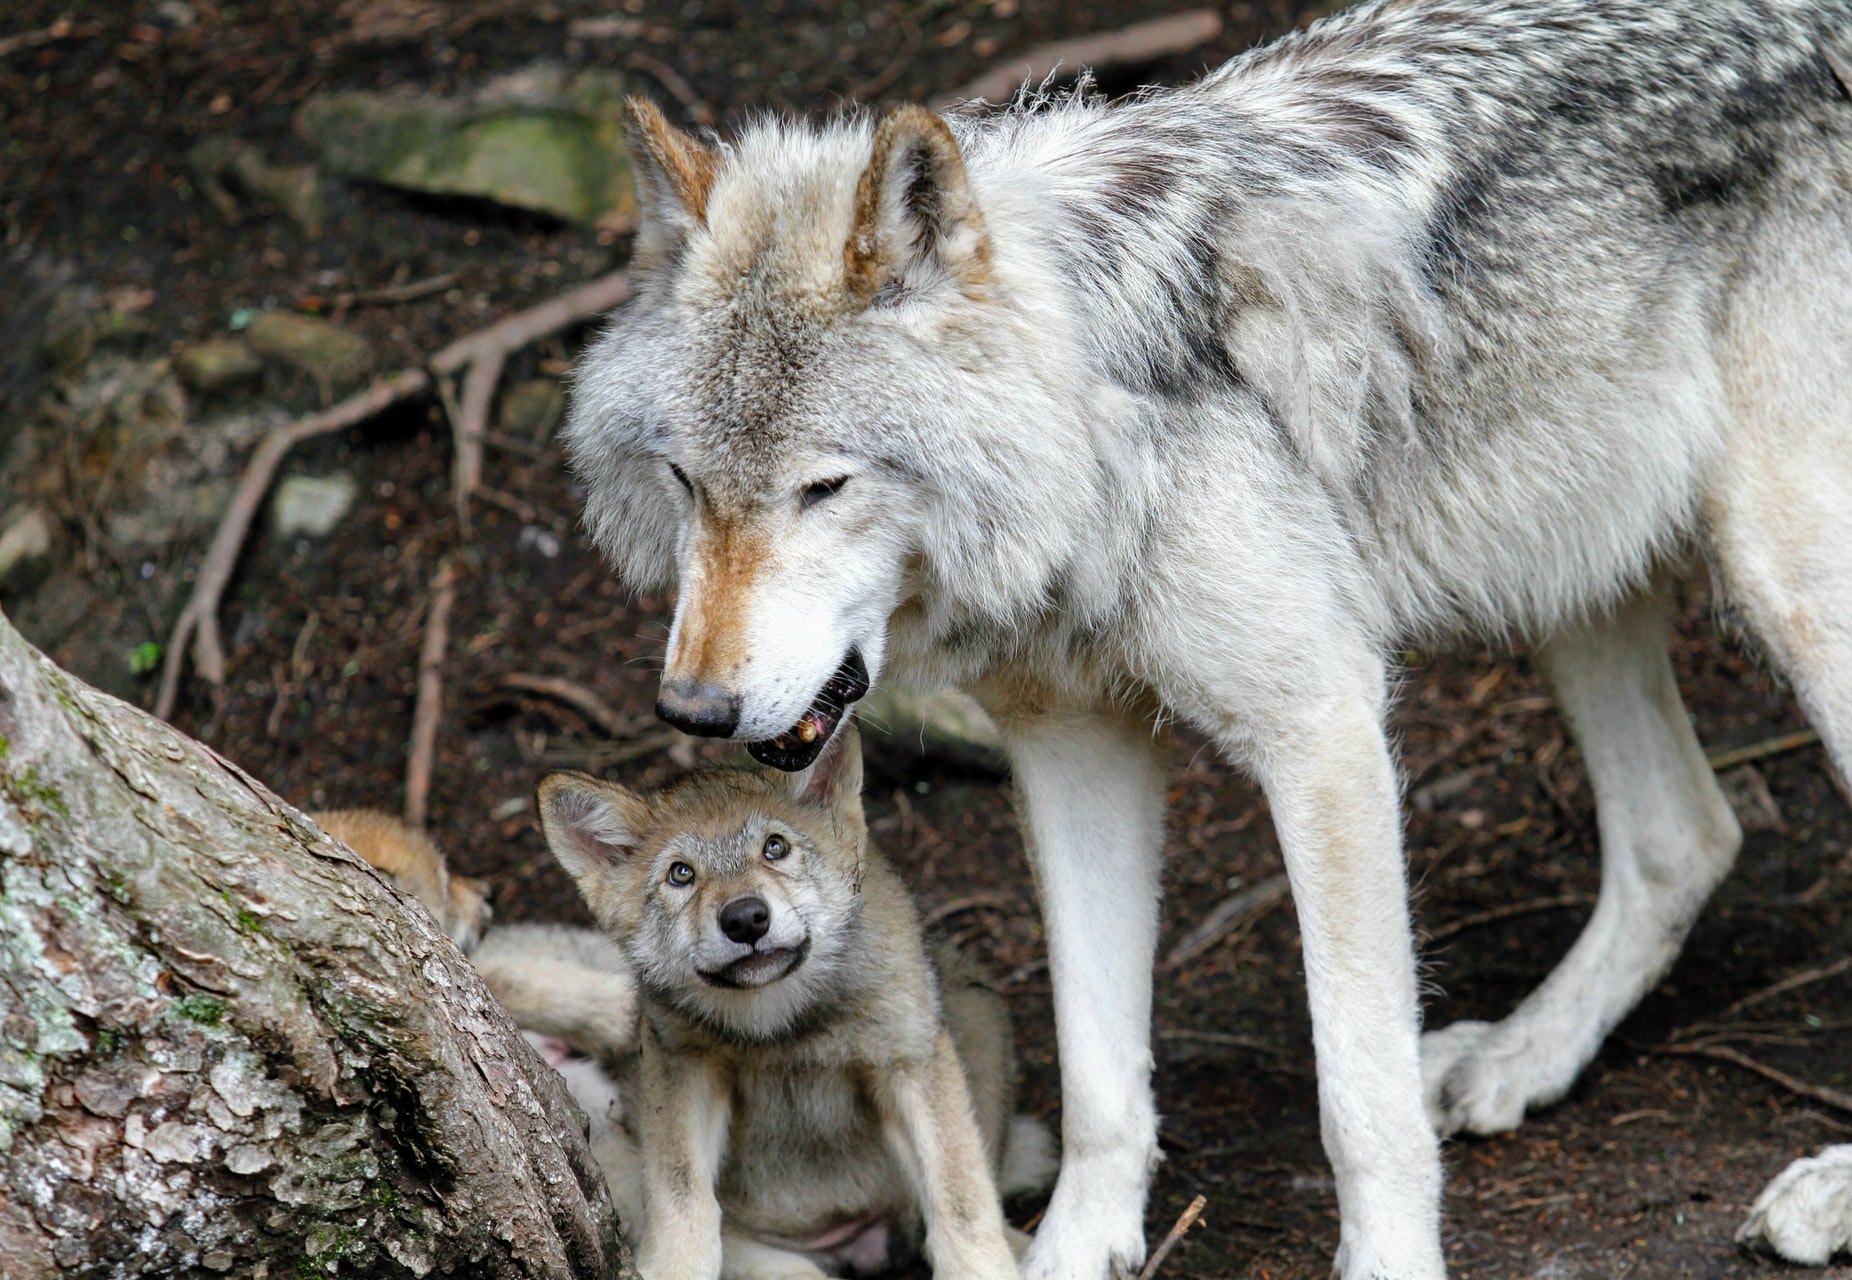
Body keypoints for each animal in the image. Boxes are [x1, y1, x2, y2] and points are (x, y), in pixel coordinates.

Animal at [537, 729, 1059, 1280]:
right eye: (681, 874)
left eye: (775, 847)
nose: (745, 918)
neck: (782, 1026)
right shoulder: (682, 1063)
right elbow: (681, 1196)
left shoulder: (907, 1058)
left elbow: (962, 1203)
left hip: (975, 1011)